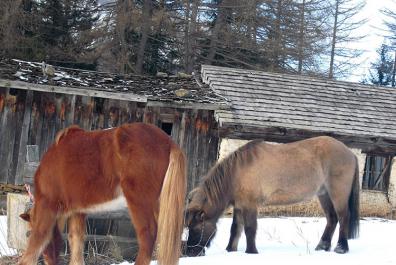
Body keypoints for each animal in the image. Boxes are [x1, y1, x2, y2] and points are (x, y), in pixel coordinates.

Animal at [17, 123, 186, 264]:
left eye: (29, 230)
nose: (49, 260)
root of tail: (169, 142)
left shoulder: (47, 207)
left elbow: (37, 241)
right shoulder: (78, 212)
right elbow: (76, 242)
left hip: (139, 202)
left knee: (148, 236)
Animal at [185, 135, 358, 255]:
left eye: (195, 228)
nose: (190, 252)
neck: (237, 172)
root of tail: (349, 152)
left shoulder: (250, 206)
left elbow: (250, 229)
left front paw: (251, 251)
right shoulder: (239, 206)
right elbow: (235, 229)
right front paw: (230, 250)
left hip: (337, 193)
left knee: (343, 217)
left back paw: (341, 248)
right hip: (324, 194)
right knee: (332, 219)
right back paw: (323, 246)